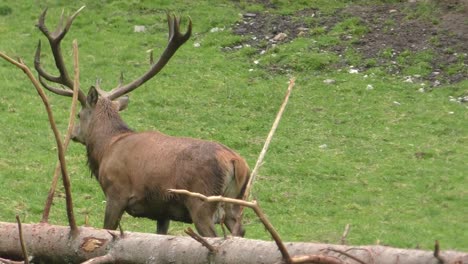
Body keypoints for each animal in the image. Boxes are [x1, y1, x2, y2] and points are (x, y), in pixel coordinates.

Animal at [33, 7, 250, 237]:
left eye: (78, 115)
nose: (74, 133)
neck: (106, 148)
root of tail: (236, 162)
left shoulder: (116, 192)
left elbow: (108, 228)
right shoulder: (162, 211)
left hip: (202, 203)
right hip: (236, 204)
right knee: (241, 230)